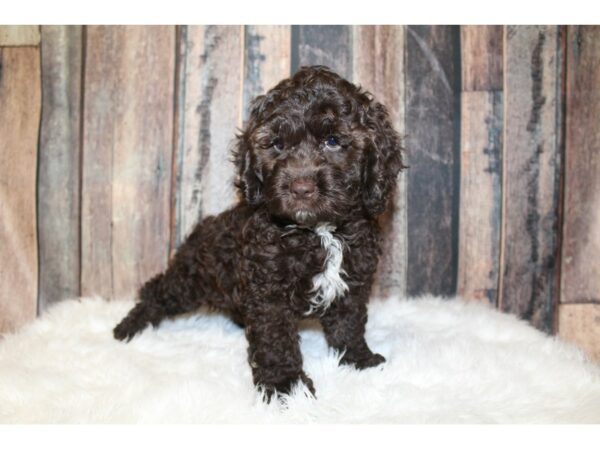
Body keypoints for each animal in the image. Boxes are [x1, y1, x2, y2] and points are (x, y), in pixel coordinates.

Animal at [112, 66, 404, 400]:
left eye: (333, 141)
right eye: (277, 144)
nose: (300, 188)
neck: (318, 230)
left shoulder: (352, 281)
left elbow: (349, 323)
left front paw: (358, 359)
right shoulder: (269, 290)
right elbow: (275, 339)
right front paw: (285, 387)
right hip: (191, 278)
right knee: (157, 290)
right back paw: (130, 326)